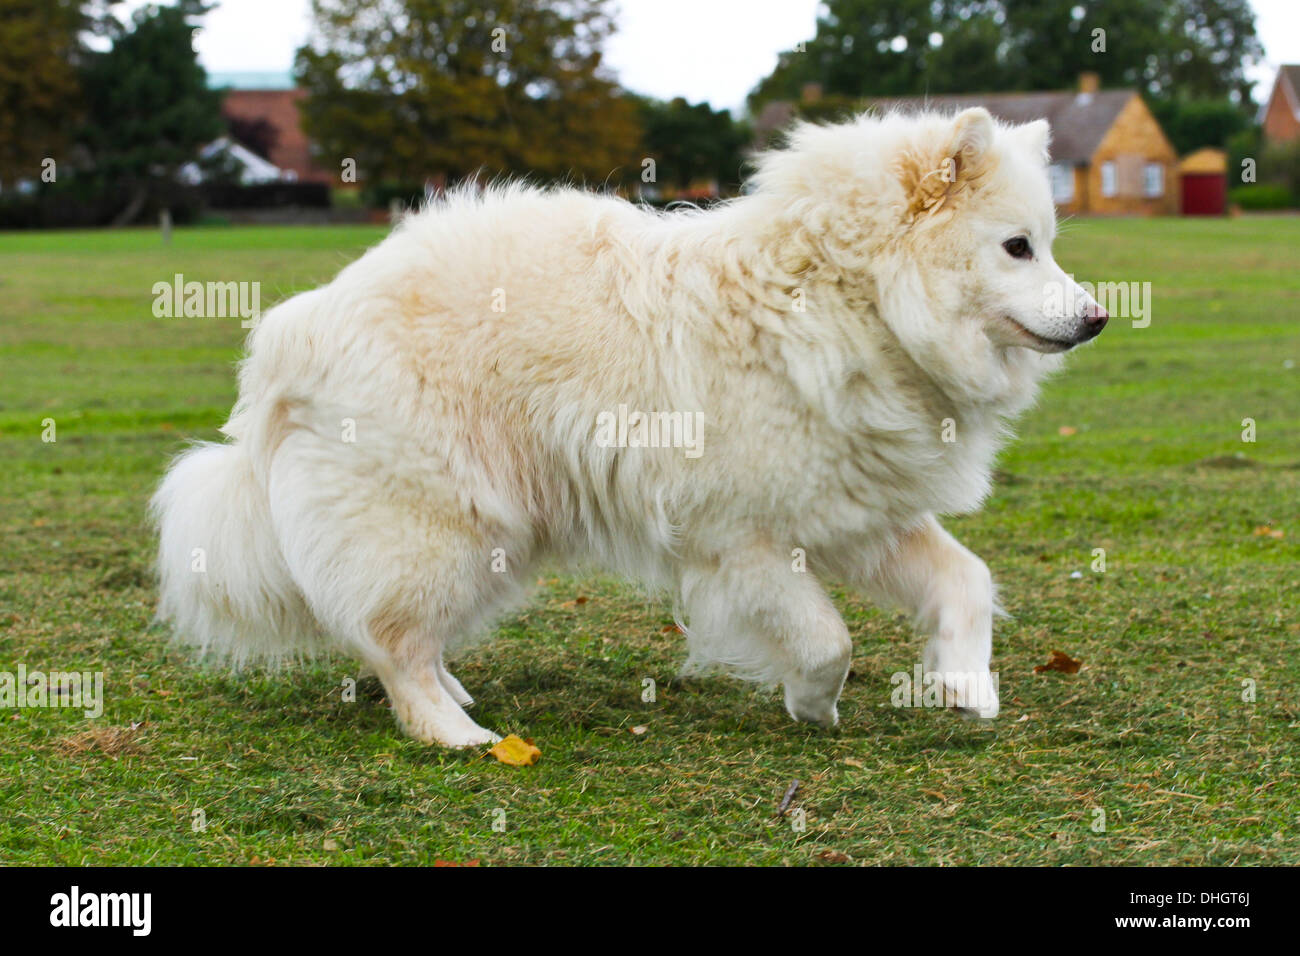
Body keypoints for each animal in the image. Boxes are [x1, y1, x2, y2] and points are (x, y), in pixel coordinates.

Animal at [154, 106, 1107, 749]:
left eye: (1050, 244)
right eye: (1017, 247)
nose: (1097, 318)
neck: (848, 299)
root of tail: (297, 328)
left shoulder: (855, 513)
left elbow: (966, 578)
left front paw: (965, 684)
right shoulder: (740, 542)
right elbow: (826, 638)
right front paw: (812, 703)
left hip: (488, 537)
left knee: (395, 632)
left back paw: (457, 696)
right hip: (444, 523)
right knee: (392, 644)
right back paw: (456, 735)